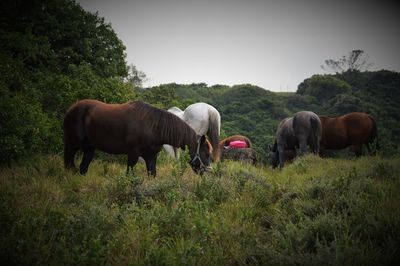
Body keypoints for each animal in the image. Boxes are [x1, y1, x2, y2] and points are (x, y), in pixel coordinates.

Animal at [63, 98, 212, 176]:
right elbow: (129, 174)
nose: (208, 172)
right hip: (73, 144)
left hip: (89, 148)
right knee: (69, 163)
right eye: (205, 153)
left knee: (82, 167)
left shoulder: (151, 156)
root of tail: (71, 109)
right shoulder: (133, 155)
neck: (153, 126)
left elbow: (152, 174)